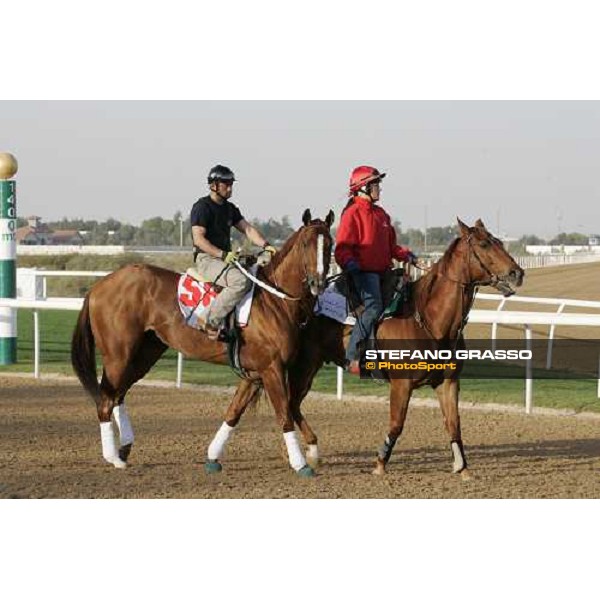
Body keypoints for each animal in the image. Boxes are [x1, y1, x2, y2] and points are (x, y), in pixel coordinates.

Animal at [71, 209, 332, 476]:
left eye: (329, 244)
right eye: (305, 244)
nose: (318, 283)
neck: (275, 300)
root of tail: (99, 285)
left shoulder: (253, 374)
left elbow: (233, 412)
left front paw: (213, 457)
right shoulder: (272, 369)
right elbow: (284, 414)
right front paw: (301, 463)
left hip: (144, 354)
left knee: (118, 395)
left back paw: (124, 449)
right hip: (118, 355)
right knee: (106, 399)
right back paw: (113, 456)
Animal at [282, 219, 524, 478]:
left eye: (499, 242)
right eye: (484, 244)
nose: (517, 273)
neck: (429, 321)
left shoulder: (448, 382)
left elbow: (453, 423)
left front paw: (462, 467)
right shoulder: (401, 385)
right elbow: (397, 424)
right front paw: (380, 463)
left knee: (292, 404)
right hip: (304, 365)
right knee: (291, 403)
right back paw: (311, 452)